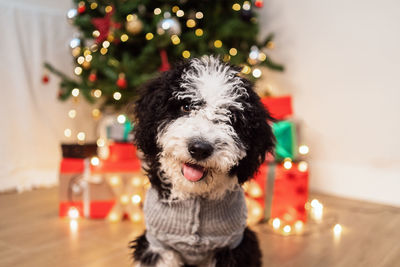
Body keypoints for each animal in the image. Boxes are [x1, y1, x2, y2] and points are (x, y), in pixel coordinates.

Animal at [131, 55, 276, 266]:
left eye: (231, 117)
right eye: (186, 106)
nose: (200, 148)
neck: (195, 195)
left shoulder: (233, 246)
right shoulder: (158, 245)